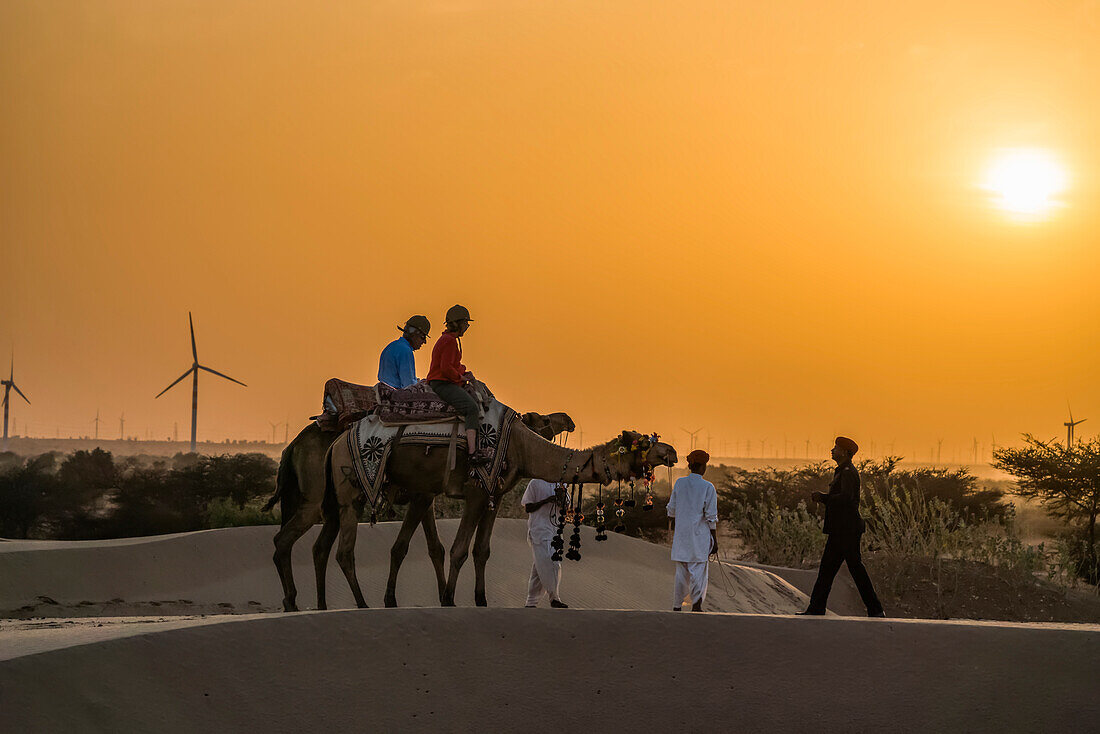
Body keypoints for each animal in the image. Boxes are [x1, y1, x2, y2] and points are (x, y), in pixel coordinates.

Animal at [270, 411, 576, 611]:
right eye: (545, 420)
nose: (568, 420)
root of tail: (292, 446)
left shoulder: (428, 494)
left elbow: (434, 548)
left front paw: (445, 597)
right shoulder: (424, 494)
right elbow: (407, 546)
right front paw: (397, 599)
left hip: (329, 504)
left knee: (318, 547)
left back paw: (318, 604)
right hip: (318, 497)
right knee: (288, 540)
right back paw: (300, 602)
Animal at [321, 422, 673, 611]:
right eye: (645, 444)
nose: (671, 451)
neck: (522, 447)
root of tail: (335, 443)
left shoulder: (497, 493)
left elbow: (482, 550)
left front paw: (481, 600)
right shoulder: (477, 491)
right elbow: (460, 549)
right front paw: (450, 600)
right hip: (351, 485)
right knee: (345, 550)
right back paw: (362, 603)